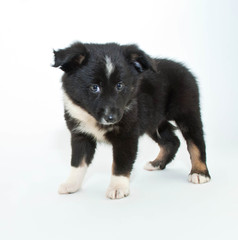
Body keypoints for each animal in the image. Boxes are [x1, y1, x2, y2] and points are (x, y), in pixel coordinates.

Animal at [52, 42, 210, 200]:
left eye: (120, 85)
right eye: (94, 87)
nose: (111, 118)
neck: (91, 117)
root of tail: (184, 69)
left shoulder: (127, 135)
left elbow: (120, 163)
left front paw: (118, 188)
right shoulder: (80, 134)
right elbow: (78, 162)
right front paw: (71, 184)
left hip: (187, 113)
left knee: (196, 142)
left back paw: (200, 172)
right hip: (154, 121)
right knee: (172, 141)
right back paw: (157, 163)